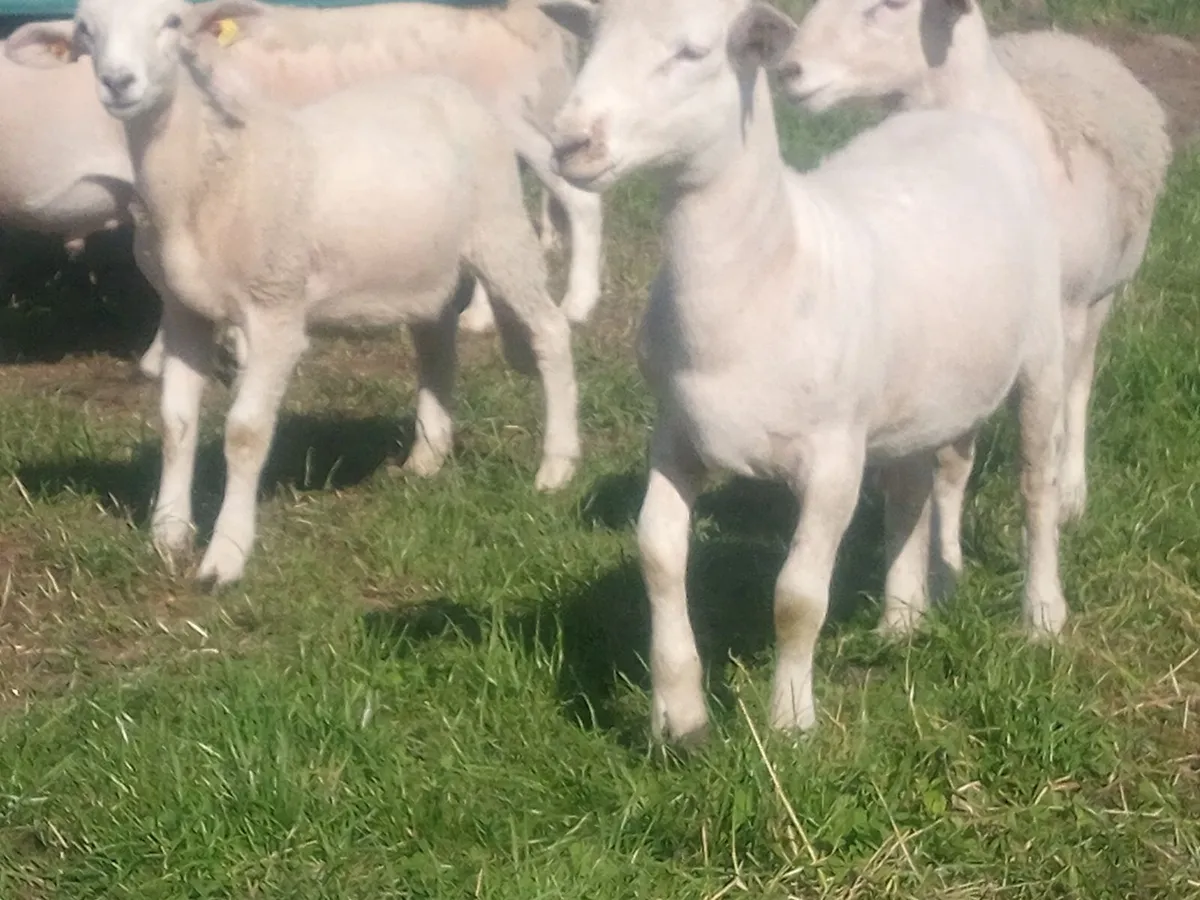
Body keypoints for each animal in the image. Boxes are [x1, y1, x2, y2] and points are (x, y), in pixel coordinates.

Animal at [542, 0, 1067, 742]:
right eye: (589, 38)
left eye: (693, 52)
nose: (569, 143)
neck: (765, 270)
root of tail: (955, 119)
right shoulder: (675, 435)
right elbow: (658, 557)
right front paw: (679, 716)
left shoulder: (833, 460)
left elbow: (796, 597)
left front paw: (790, 723)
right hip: (914, 392)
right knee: (910, 490)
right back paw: (902, 620)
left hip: (1044, 349)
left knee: (1035, 486)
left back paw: (1042, 616)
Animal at [779, 0, 1172, 631]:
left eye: (891, 7)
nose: (788, 69)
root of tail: (1069, 42)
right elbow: (947, 467)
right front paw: (944, 575)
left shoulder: (1057, 322)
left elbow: (1045, 440)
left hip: (1098, 299)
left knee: (1081, 389)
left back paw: (1073, 492)